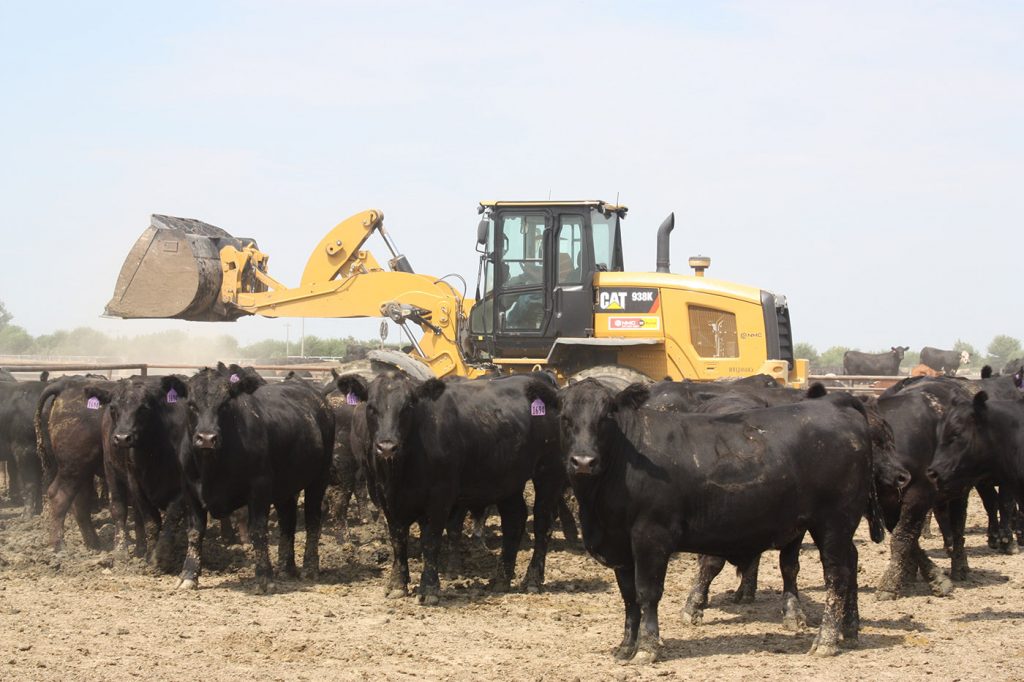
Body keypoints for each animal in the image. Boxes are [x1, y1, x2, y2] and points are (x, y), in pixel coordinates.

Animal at [163, 367, 333, 592]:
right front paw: (188, 575)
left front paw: (264, 577)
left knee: (313, 520)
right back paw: (286, 568)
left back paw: (310, 568)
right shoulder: (189, 491)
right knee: (287, 521)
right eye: (191, 404)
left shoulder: (259, 488)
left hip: (319, 479)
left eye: (225, 404)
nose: (206, 438)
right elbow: (194, 532)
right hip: (285, 488)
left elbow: (258, 531)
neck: (212, 467)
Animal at [335, 371, 564, 603]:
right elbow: (397, 539)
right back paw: (501, 579)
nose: (387, 447)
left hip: (549, 472)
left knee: (542, 522)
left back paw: (532, 579)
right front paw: (397, 584)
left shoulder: (440, 497)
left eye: (408, 406)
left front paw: (429, 588)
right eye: (371, 407)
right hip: (508, 480)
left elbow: (430, 541)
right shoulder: (387, 498)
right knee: (514, 520)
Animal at [543, 378, 887, 662]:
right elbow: (629, 598)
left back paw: (826, 640)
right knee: (851, 563)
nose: (583, 461)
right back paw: (850, 630)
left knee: (837, 576)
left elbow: (647, 593)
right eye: (565, 419)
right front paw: (626, 646)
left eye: (605, 418)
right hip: (838, 527)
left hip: (833, 522)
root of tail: (836, 402)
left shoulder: (650, 535)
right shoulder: (619, 545)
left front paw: (647, 648)